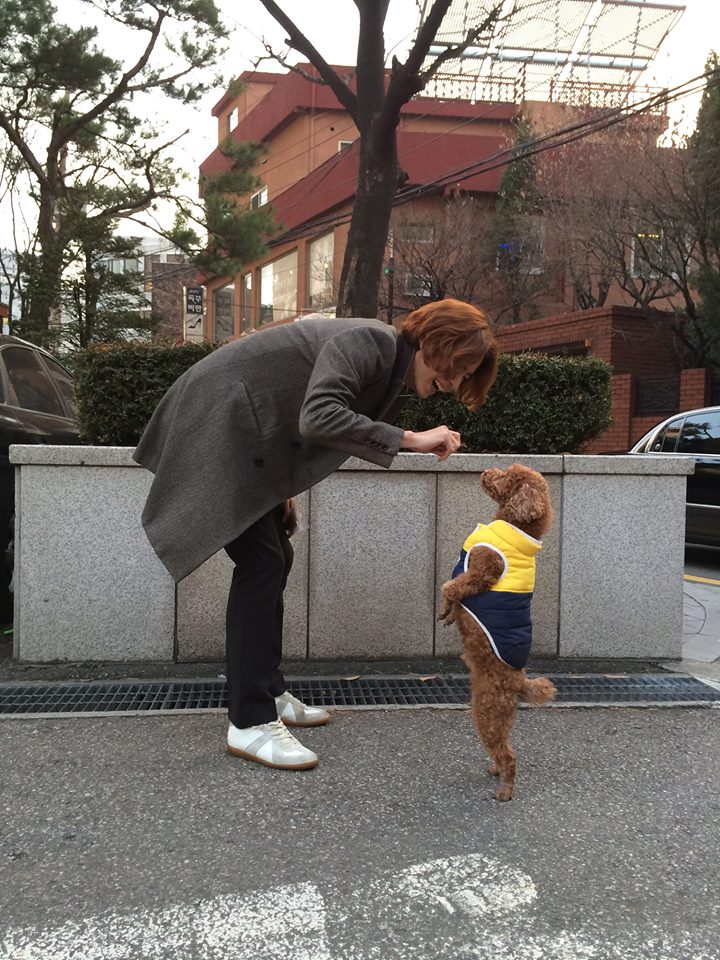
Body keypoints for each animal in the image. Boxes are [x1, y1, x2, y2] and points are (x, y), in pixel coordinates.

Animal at [438, 464, 556, 804]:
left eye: (507, 476)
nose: (488, 468)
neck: (518, 530)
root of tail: (519, 681)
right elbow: (455, 598)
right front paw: (449, 615)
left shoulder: (482, 571)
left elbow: (452, 587)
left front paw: (446, 606)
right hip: (500, 715)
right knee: (502, 748)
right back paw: (495, 771)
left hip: (487, 710)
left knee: (508, 753)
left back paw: (505, 790)